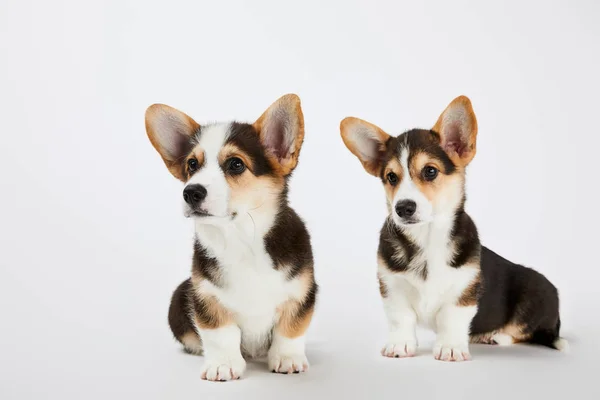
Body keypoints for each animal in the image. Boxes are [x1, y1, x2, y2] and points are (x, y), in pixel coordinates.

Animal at [145, 94, 318, 382]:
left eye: (236, 164)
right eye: (192, 164)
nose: (190, 192)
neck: (241, 237)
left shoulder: (301, 291)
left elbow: (290, 329)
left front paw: (287, 359)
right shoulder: (206, 295)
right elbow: (220, 334)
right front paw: (223, 365)